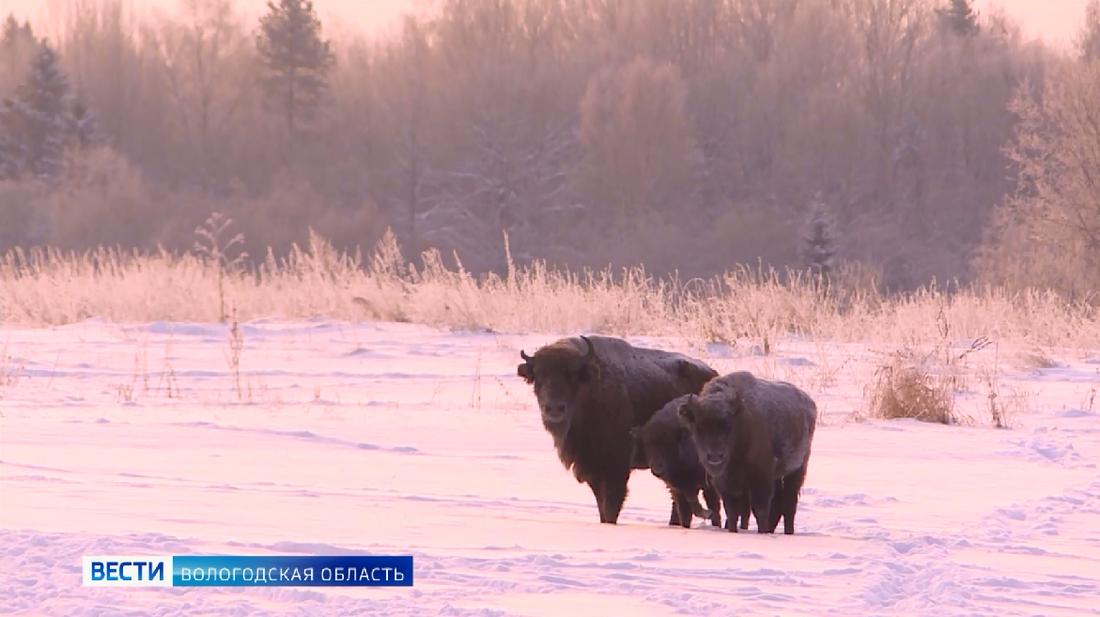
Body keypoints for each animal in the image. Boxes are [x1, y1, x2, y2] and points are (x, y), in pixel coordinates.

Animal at [517, 334, 717, 521]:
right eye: (538, 376)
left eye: (572, 375)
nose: (554, 408)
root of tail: (712, 373)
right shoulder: (593, 472)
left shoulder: (616, 471)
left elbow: (610, 508)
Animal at [629, 393, 730, 530]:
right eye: (647, 444)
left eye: (669, 443)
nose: (657, 466)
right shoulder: (677, 489)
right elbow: (685, 511)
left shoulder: (701, 485)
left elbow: (701, 506)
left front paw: (708, 515)